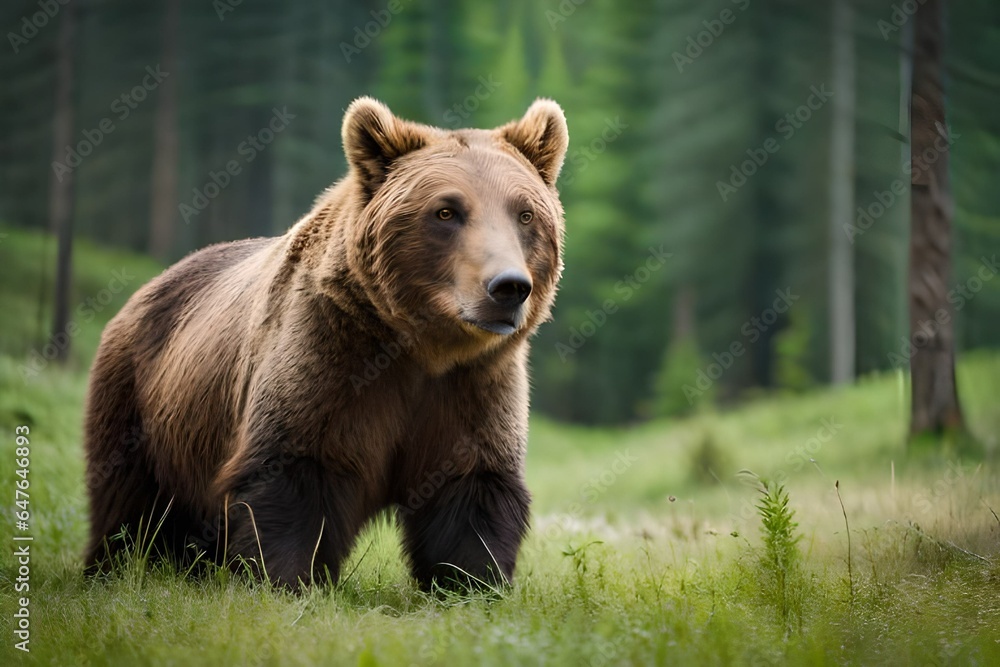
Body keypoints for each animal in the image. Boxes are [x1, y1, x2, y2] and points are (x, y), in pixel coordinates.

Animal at [83, 96, 569, 590]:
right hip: (144, 400)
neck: (421, 348)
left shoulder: (474, 384)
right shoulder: (327, 358)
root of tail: (154, 282)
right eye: (446, 211)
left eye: (525, 214)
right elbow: (296, 471)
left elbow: (471, 489)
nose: (508, 287)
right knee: (128, 503)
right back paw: (111, 568)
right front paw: (285, 578)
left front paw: (472, 582)